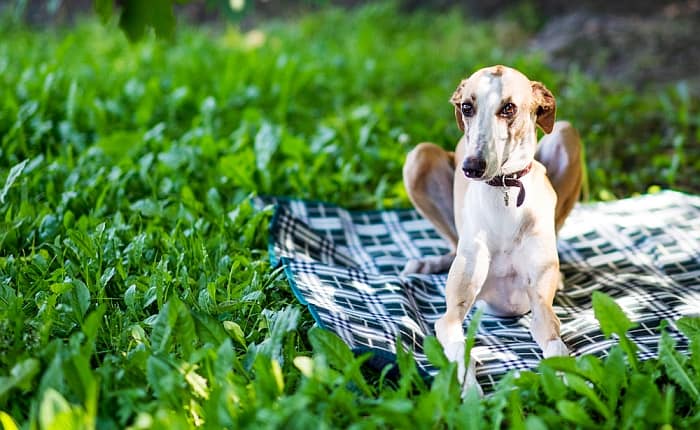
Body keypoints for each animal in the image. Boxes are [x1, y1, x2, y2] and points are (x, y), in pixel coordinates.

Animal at [402, 64, 584, 394]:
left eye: (508, 108)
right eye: (467, 107)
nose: (471, 167)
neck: (504, 192)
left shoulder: (541, 309)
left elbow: (556, 345)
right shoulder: (450, 317)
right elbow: (460, 349)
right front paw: (469, 391)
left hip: (565, 133)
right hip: (418, 158)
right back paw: (427, 263)